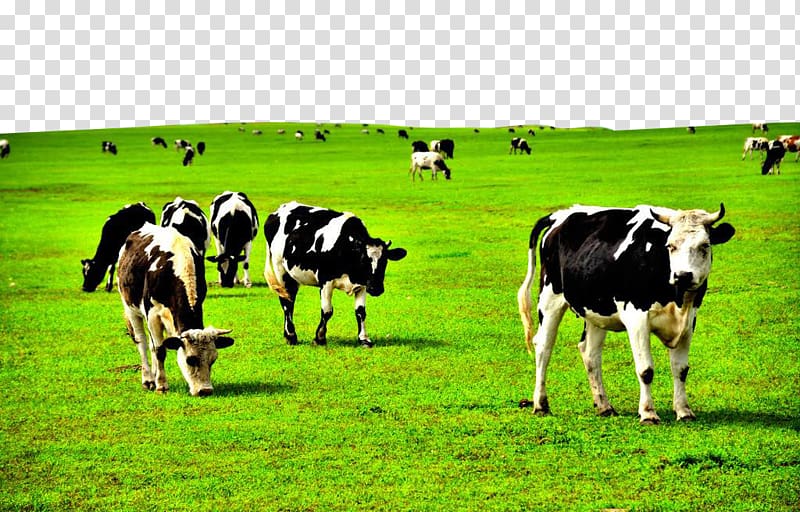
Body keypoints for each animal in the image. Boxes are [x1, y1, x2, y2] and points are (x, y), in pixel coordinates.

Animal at [117, 223, 234, 396]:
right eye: (190, 359)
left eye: (213, 360)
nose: (205, 390)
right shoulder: (152, 315)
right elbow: (160, 350)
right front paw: (161, 386)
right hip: (131, 308)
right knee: (142, 342)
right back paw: (148, 379)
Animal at [264, 201, 406, 348]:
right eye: (363, 259)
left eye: (385, 261)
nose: (376, 288)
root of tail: (279, 209)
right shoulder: (325, 281)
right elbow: (327, 311)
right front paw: (319, 338)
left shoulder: (362, 284)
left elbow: (360, 312)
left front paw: (364, 339)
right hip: (280, 269)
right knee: (286, 302)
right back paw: (291, 335)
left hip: (292, 277)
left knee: (291, 299)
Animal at [516, 204, 736, 424]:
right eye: (670, 246)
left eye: (705, 245)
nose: (682, 276)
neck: (677, 298)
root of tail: (559, 215)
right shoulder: (636, 319)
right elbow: (646, 369)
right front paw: (648, 413)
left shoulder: (689, 322)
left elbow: (681, 369)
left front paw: (684, 411)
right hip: (550, 298)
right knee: (543, 346)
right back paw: (541, 404)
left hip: (595, 308)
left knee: (590, 352)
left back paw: (604, 406)